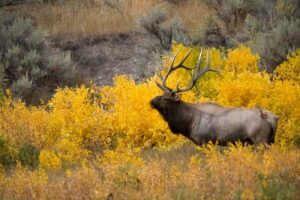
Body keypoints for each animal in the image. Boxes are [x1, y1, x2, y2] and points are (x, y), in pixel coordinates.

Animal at [151, 48, 280, 145]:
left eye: (166, 99)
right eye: (161, 94)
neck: (189, 122)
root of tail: (274, 118)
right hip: (271, 141)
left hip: (260, 140)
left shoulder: (205, 140)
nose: (151, 101)